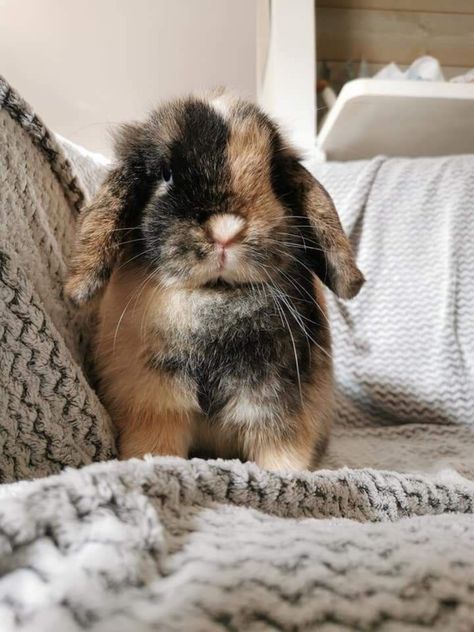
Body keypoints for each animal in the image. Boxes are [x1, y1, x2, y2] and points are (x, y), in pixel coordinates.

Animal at [65, 94, 362, 470]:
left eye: (274, 177)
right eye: (166, 174)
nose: (226, 231)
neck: (215, 296)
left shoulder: (278, 408)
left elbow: (283, 452)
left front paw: (289, 476)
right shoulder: (153, 402)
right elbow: (155, 444)